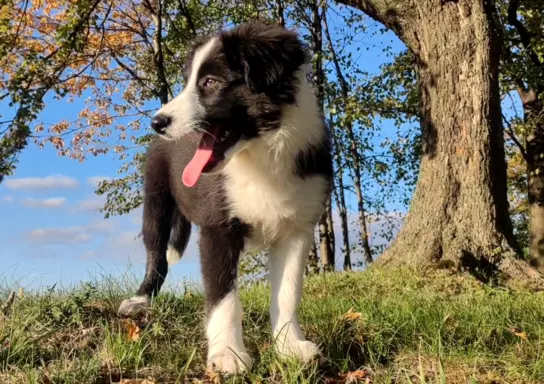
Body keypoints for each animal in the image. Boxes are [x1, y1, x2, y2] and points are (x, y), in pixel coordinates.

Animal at [118, 21, 332, 376]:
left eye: (210, 82)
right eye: (189, 81)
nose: (157, 122)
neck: (260, 155)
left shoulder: (296, 229)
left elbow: (288, 292)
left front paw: (290, 346)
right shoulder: (217, 228)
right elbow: (223, 297)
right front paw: (228, 354)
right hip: (156, 200)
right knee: (156, 254)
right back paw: (140, 300)